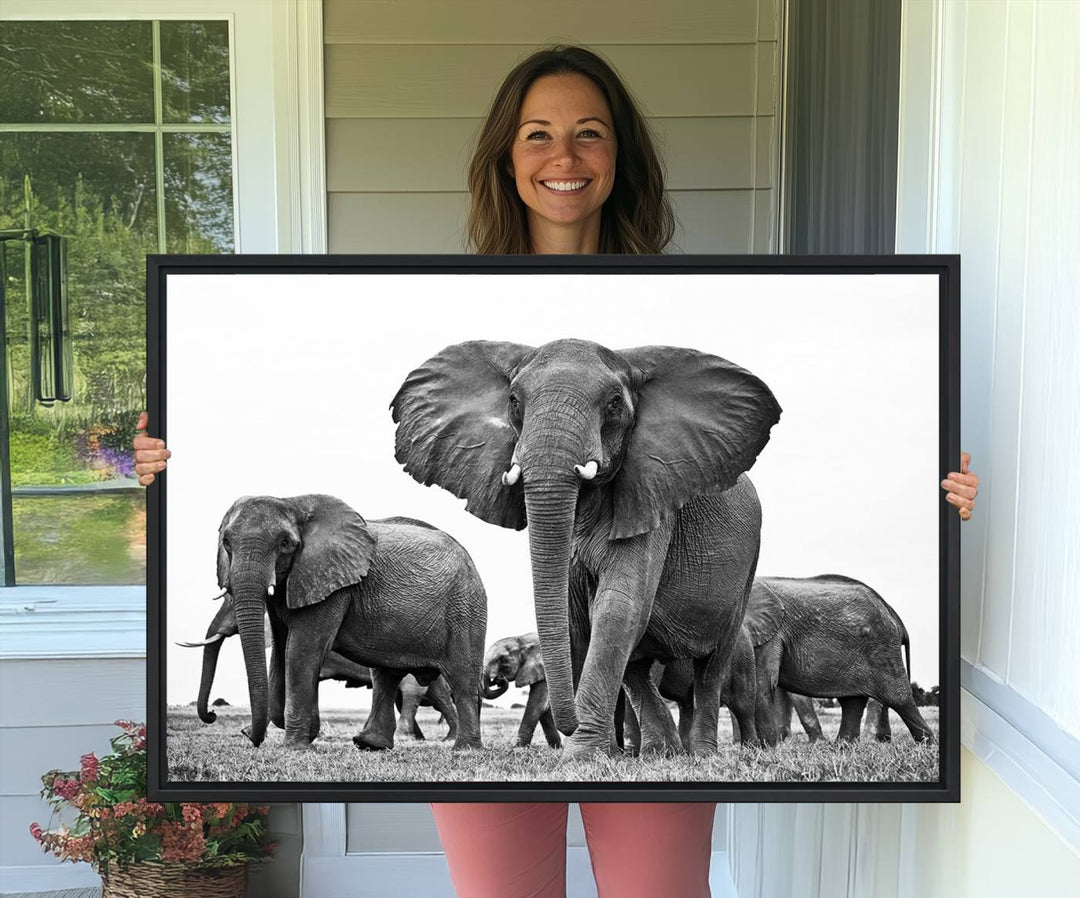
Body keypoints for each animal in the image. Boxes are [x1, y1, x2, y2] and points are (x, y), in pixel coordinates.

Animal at [179, 596, 457, 743]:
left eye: (231, 604)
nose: (212, 713)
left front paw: (248, 733)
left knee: (413, 692)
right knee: (432, 695)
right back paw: (431, 738)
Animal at [214, 499, 486, 752]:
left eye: (284, 543)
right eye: (226, 542)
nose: (252, 738)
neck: (294, 504)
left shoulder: (332, 584)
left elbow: (301, 650)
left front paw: (296, 747)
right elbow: (282, 650)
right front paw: (305, 730)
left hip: (465, 608)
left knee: (461, 678)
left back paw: (464, 748)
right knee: (385, 676)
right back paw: (370, 744)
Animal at [393, 341, 781, 756]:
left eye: (613, 404)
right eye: (513, 401)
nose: (572, 722)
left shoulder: (653, 498)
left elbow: (617, 606)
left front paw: (582, 755)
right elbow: (576, 617)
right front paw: (602, 752)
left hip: (747, 572)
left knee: (711, 669)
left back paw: (700, 752)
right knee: (638, 668)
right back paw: (660, 751)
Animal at [747, 574, 933, 743]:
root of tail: (893, 614)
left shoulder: (771, 632)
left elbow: (763, 684)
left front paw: (765, 748)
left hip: (882, 648)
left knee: (898, 698)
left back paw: (926, 745)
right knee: (852, 701)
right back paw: (842, 746)